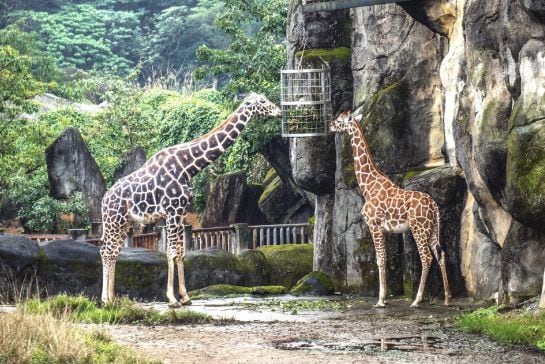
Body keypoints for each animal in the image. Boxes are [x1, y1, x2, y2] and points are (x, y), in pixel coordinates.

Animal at [100, 92, 280, 306]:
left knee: (112, 251)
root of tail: (103, 200)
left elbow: (181, 252)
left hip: (124, 222)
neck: (187, 167)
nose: (279, 111)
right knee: (107, 251)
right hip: (114, 220)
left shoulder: (180, 212)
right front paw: (172, 299)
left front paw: (185, 297)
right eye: (261, 102)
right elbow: (171, 252)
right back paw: (106, 299)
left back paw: (112, 298)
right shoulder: (172, 211)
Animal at [328, 110, 450, 308]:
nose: (330, 125)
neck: (368, 186)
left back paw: (417, 300)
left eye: (340, 120)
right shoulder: (384, 229)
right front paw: (384, 298)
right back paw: (447, 298)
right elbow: (383, 259)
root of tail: (434, 206)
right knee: (441, 254)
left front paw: (380, 300)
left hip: (418, 228)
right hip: (432, 229)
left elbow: (379, 260)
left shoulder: (374, 225)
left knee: (426, 257)